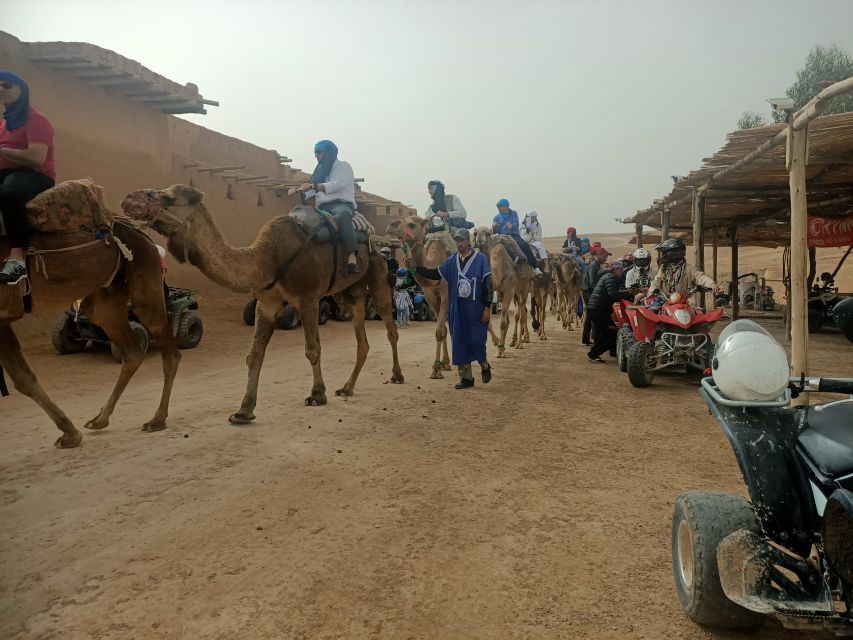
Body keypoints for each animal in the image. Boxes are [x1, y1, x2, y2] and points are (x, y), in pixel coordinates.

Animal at [0, 180, 180, 448]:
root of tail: (142, 234)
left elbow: (23, 378)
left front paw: (69, 434)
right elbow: (22, 376)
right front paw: (70, 433)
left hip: (144, 283)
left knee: (169, 351)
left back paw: (156, 420)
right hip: (104, 301)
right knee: (132, 350)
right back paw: (100, 419)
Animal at [121, 184, 404, 420]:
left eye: (167, 196)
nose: (129, 198)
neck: (266, 259)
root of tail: (373, 238)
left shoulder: (308, 299)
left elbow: (312, 349)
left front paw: (317, 395)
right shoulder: (266, 303)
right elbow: (254, 354)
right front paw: (244, 411)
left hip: (378, 275)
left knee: (390, 326)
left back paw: (397, 375)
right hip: (350, 292)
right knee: (362, 339)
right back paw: (347, 388)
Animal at [384, 216, 452, 376]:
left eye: (412, 224)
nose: (391, 225)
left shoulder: (446, 294)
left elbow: (439, 330)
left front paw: (436, 369)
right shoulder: (430, 296)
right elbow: (441, 329)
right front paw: (440, 365)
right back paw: (447, 363)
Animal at [472, 226, 532, 358]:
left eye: (488, 233)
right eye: (475, 233)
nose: (479, 238)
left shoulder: (509, 290)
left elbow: (503, 322)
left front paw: (500, 351)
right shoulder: (496, 292)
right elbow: (490, 321)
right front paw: (497, 343)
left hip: (524, 289)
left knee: (521, 315)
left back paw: (519, 343)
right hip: (508, 294)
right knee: (518, 315)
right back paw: (511, 342)